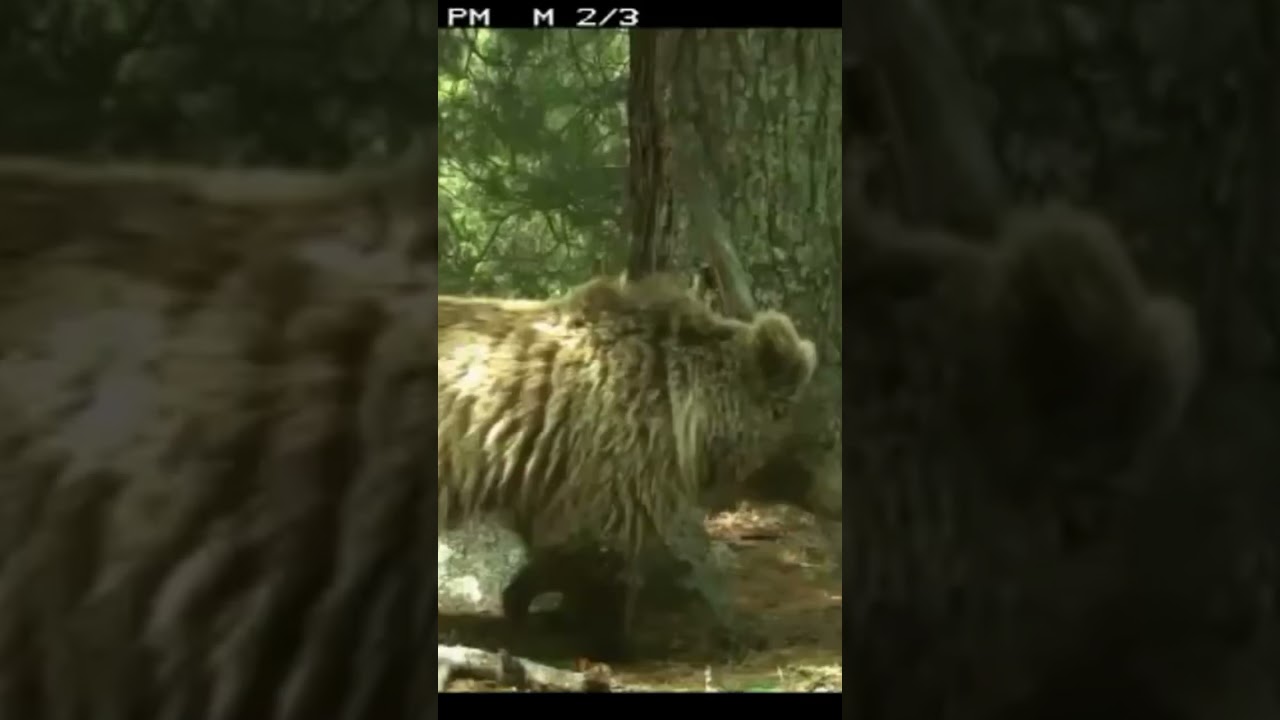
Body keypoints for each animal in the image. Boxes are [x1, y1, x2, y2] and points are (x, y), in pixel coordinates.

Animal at [436, 273, 820, 659]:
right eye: (824, 439)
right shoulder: (609, 456)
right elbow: (600, 550)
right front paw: (611, 637)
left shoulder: (549, 470)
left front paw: (531, 601)